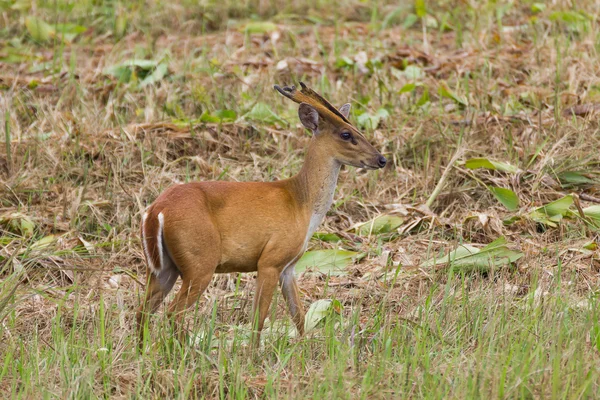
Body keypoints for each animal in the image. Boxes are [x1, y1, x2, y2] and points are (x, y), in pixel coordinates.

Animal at [137, 81, 386, 346]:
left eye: (357, 128)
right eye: (346, 134)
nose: (381, 159)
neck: (302, 204)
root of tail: (156, 211)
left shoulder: (288, 266)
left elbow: (298, 314)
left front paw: (304, 348)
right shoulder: (270, 259)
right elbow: (259, 318)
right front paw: (254, 353)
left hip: (162, 268)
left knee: (143, 311)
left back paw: (144, 351)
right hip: (199, 261)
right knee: (173, 313)